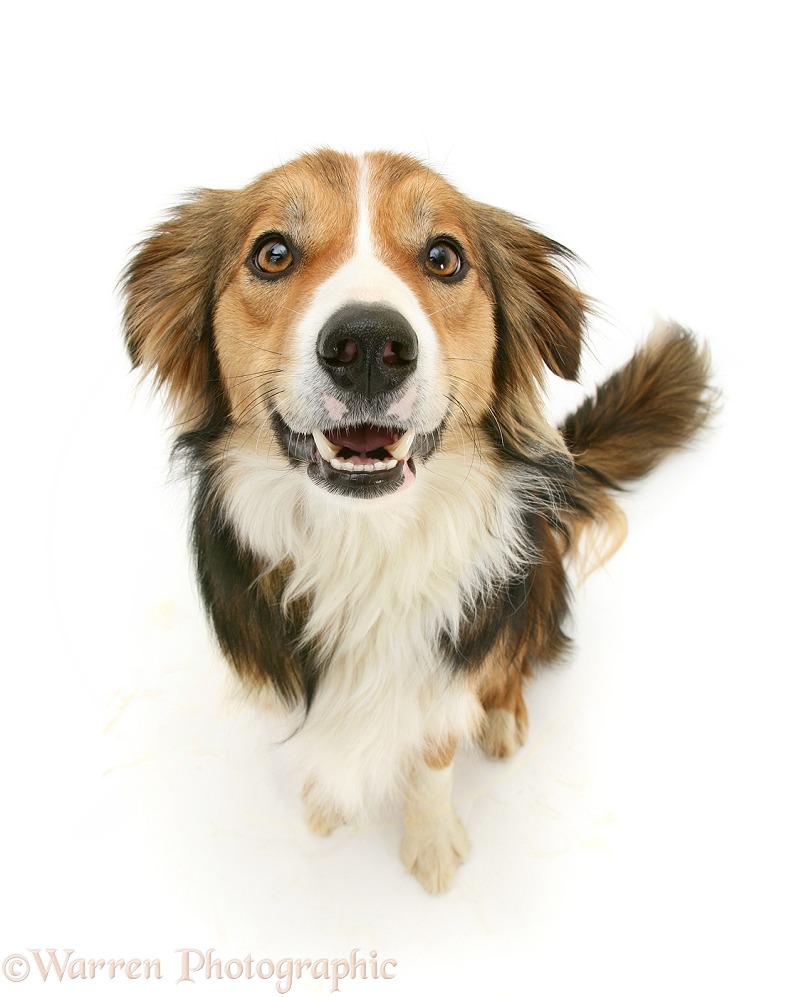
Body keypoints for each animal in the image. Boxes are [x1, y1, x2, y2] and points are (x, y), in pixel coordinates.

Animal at [123, 150, 716, 896]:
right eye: (273, 253)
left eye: (443, 257)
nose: (369, 342)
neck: (364, 544)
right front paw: (325, 801)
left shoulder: (448, 673)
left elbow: (434, 757)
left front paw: (430, 841)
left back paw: (502, 716)